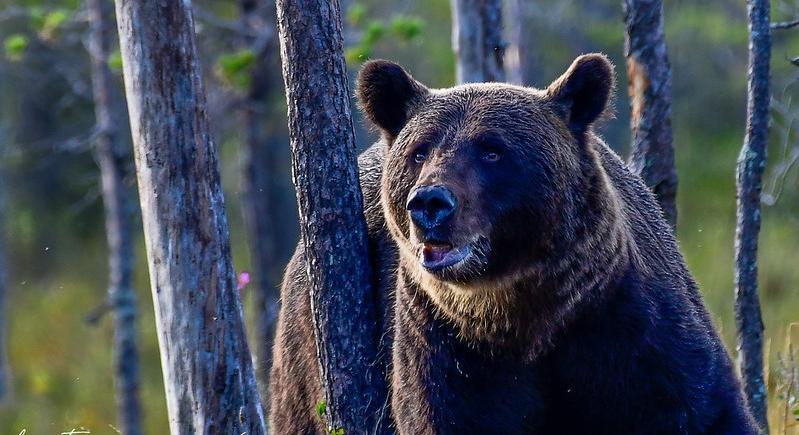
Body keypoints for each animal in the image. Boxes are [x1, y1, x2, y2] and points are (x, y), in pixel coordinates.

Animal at [268, 55, 756, 435]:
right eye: (420, 151)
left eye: (492, 150)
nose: (429, 203)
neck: (526, 318)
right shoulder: (448, 350)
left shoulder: (629, 329)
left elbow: (698, 407)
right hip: (302, 359)